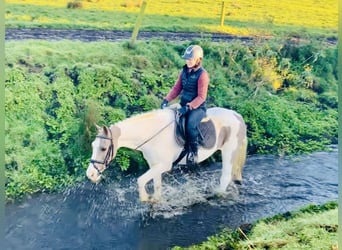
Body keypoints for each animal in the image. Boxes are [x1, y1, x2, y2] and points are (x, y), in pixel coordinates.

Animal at [85, 106, 246, 202]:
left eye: (103, 149)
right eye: (93, 146)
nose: (90, 174)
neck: (152, 133)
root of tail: (237, 115)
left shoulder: (164, 165)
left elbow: (140, 180)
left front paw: (145, 199)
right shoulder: (154, 165)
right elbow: (156, 185)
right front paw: (155, 201)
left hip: (228, 152)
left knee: (225, 176)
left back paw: (217, 195)